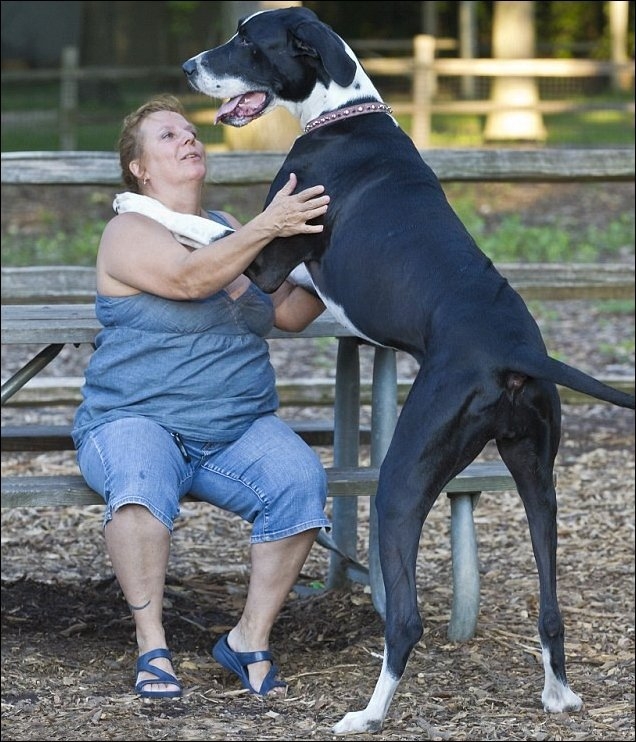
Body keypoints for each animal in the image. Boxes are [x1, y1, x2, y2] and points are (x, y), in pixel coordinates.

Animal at [140, 5, 636, 740]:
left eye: (247, 41)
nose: (187, 67)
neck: (338, 112)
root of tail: (516, 353)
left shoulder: (269, 256)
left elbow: (200, 226)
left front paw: (129, 204)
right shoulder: (294, 277)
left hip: (401, 482)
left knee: (406, 620)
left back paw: (367, 713)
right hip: (536, 474)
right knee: (550, 605)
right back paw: (558, 695)